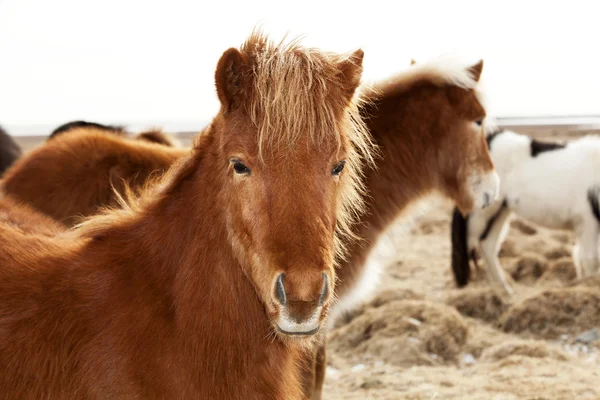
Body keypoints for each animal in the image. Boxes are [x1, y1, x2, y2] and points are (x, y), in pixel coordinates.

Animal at [450, 128, 600, 294]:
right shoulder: (587, 221)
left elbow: (581, 257)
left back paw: (505, 291)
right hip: (481, 213)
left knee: (488, 245)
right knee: (466, 244)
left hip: (500, 210)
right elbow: (590, 259)